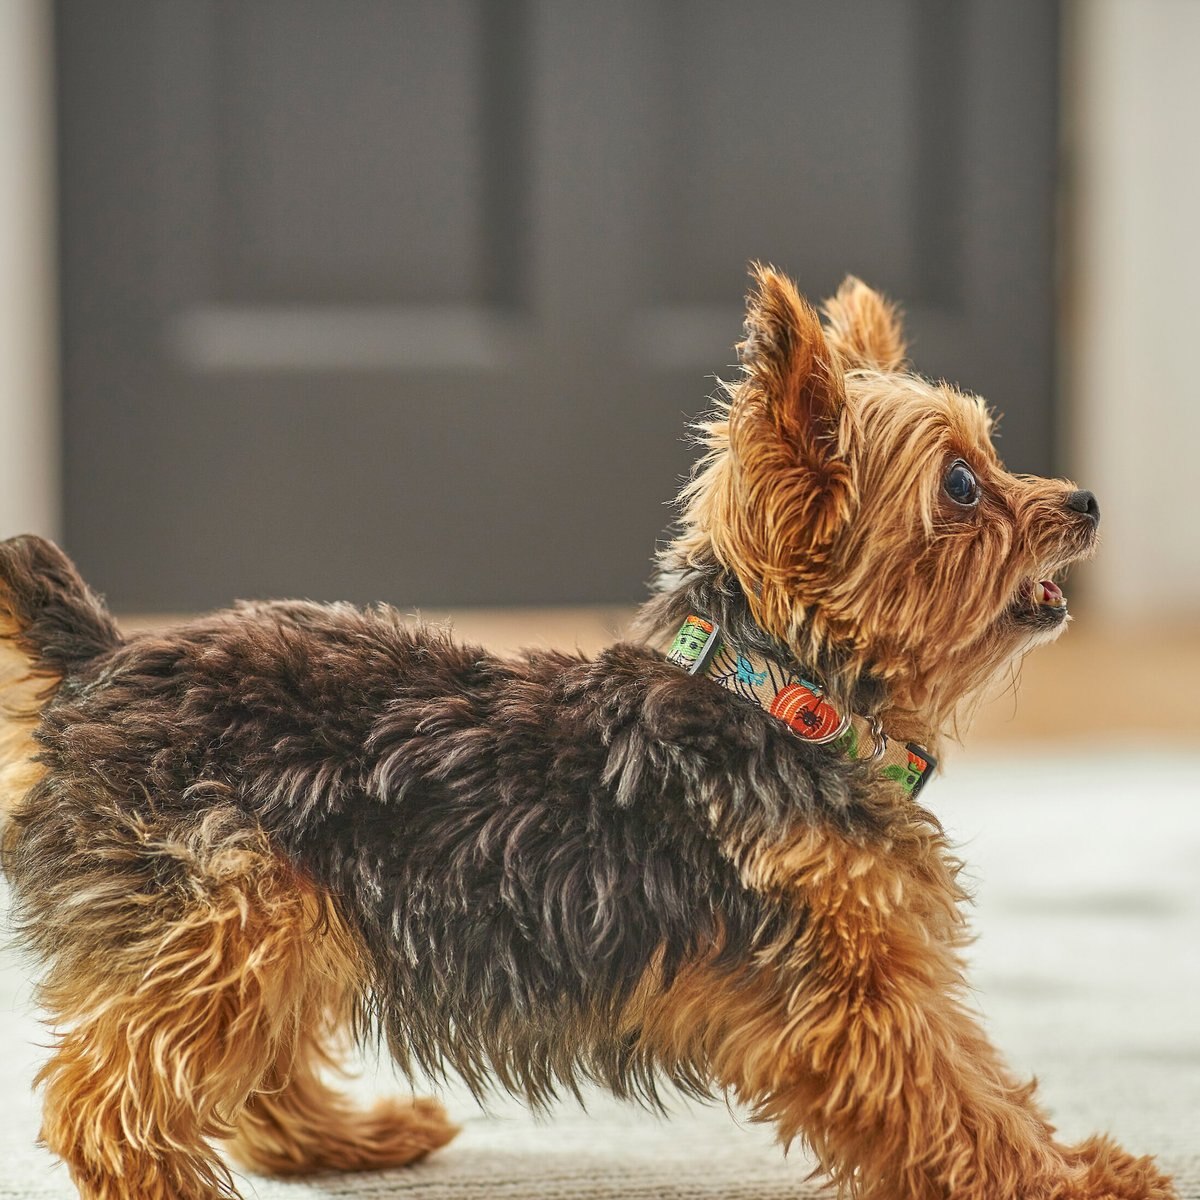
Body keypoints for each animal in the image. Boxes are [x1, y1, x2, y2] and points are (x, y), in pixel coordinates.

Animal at [0, 270, 1171, 1200]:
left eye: (996, 455)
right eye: (963, 484)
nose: (1086, 501)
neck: (784, 699)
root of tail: (100, 657)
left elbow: (976, 1083)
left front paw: (1079, 1168)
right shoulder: (855, 994)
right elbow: (959, 1100)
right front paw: (1074, 1183)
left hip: (284, 912)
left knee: (244, 1065)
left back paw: (351, 1137)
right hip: (233, 905)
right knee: (107, 1094)